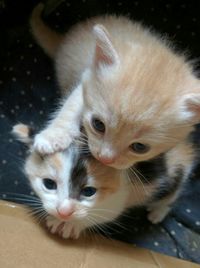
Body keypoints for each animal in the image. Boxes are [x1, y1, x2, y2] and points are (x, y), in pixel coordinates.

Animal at [13, 123, 195, 239]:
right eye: (49, 184)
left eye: (89, 191)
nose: (64, 212)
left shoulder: (121, 196)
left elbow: (106, 213)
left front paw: (71, 224)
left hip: (177, 174)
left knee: (172, 195)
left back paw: (158, 212)